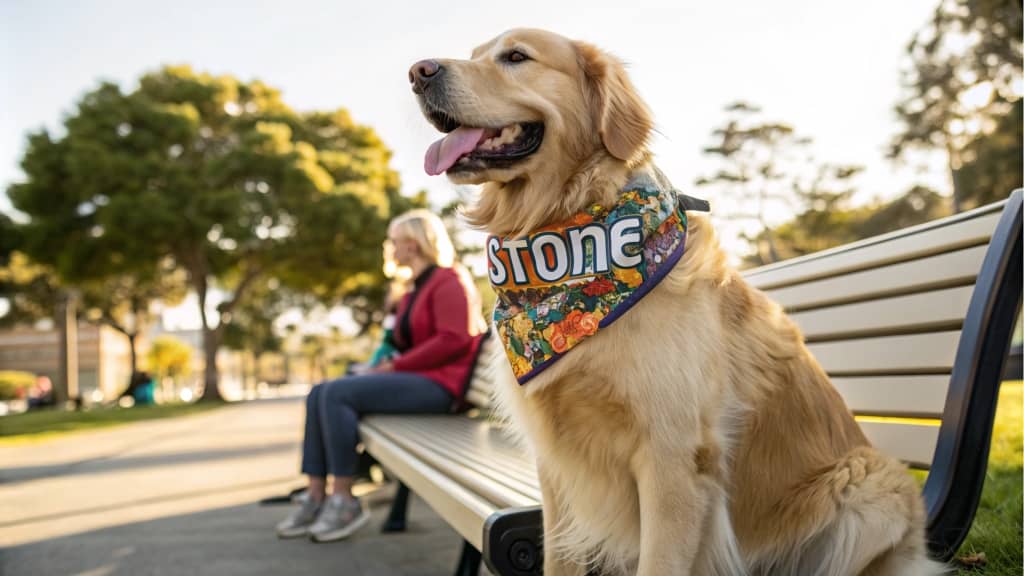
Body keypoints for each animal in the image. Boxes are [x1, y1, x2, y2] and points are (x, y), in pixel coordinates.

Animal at [405, 28, 942, 573]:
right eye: (473, 55)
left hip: (869, 485)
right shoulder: (556, 467)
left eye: (515, 56)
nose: (418, 72)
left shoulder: (672, 458)